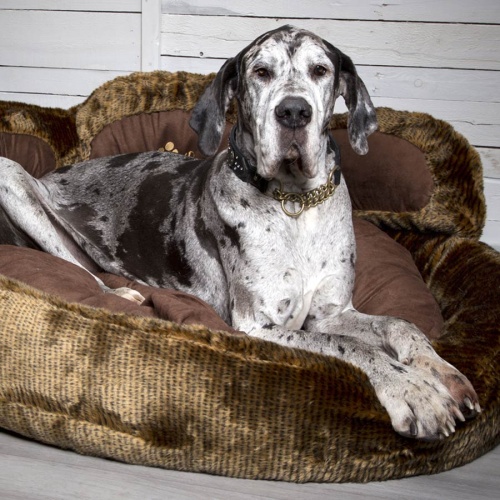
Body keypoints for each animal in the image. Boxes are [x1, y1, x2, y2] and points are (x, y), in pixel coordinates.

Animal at [0, 25, 480, 438]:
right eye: (261, 72)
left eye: (320, 70)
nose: (293, 112)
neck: (295, 205)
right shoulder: (258, 327)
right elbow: (352, 349)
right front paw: (412, 389)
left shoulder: (332, 312)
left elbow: (401, 325)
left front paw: (442, 372)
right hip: (13, 175)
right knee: (83, 273)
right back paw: (119, 294)